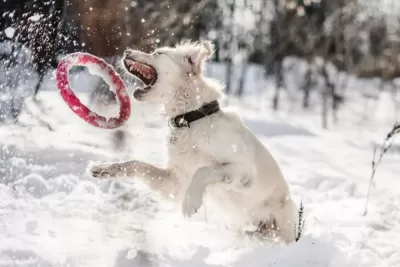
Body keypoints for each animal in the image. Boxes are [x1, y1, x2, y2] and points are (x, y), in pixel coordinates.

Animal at [89, 40, 298, 245]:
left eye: (158, 53)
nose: (126, 51)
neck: (191, 119)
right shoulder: (175, 182)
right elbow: (136, 164)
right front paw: (104, 169)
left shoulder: (244, 170)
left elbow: (204, 170)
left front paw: (190, 202)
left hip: (283, 224)